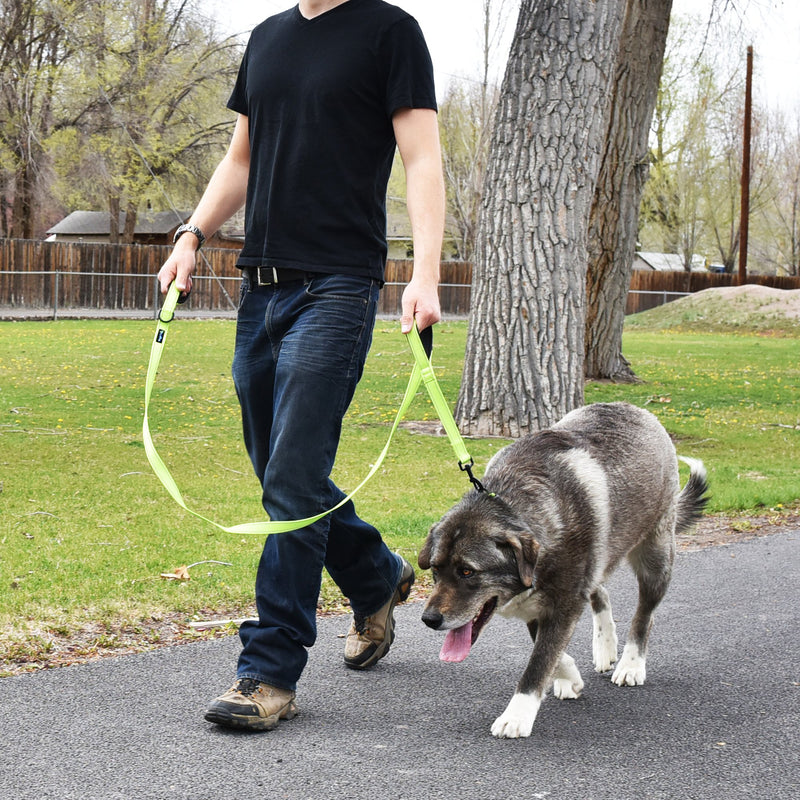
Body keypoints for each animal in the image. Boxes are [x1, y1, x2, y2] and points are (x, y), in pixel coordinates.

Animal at [418, 404, 708, 740]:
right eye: (435, 569)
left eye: (467, 572)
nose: (429, 620)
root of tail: (635, 409)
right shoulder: (540, 606)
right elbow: (550, 653)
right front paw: (569, 677)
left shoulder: (563, 602)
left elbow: (539, 661)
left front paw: (517, 715)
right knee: (599, 590)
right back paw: (605, 646)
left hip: (655, 556)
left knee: (644, 615)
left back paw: (631, 663)